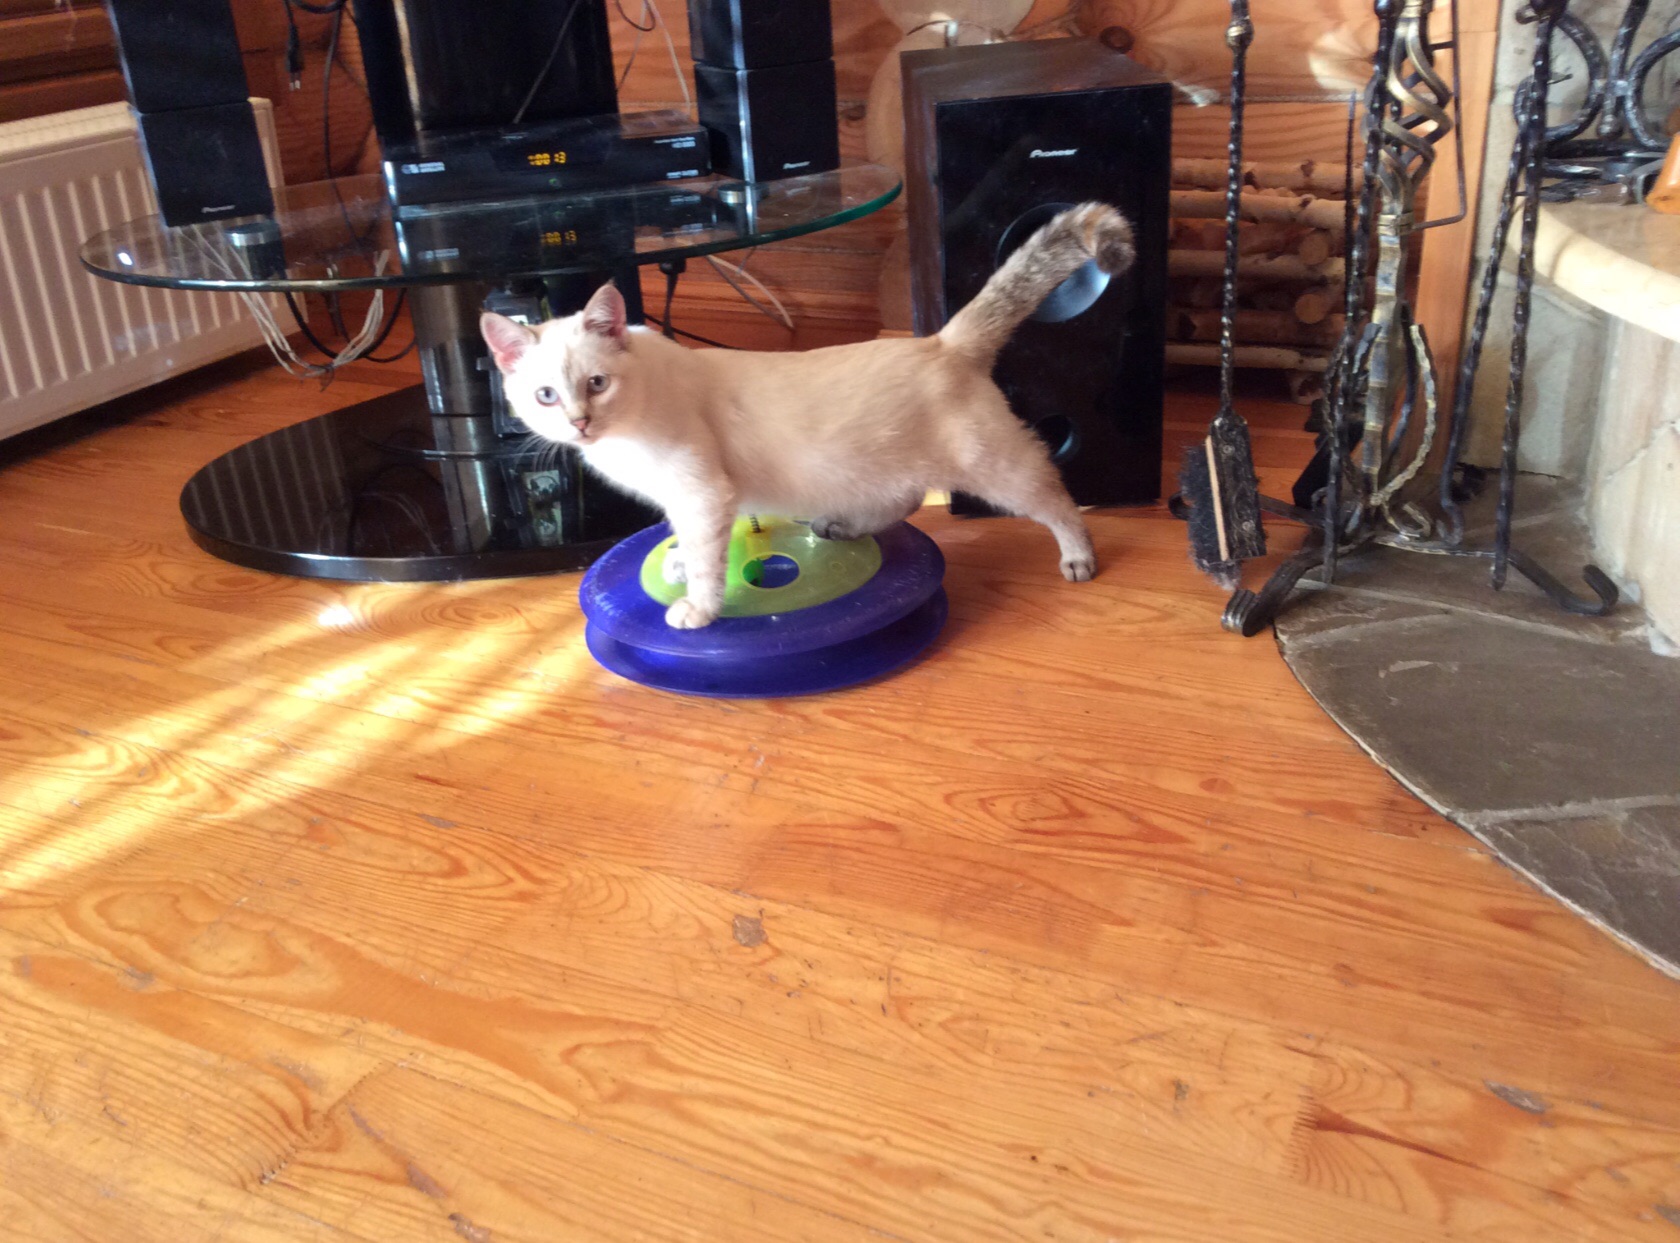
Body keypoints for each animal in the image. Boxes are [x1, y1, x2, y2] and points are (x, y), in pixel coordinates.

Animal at [481, 201, 1135, 629]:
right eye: (545, 395)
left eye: (597, 384)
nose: (579, 423)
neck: (625, 431)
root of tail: (944, 342)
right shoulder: (680, 499)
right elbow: (684, 542)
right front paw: (676, 564)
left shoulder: (700, 493)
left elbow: (706, 560)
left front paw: (697, 607)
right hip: (873, 468)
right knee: (904, 499)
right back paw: (839, 527)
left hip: (995, 468)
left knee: (1056, 497)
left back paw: (1078, 557)